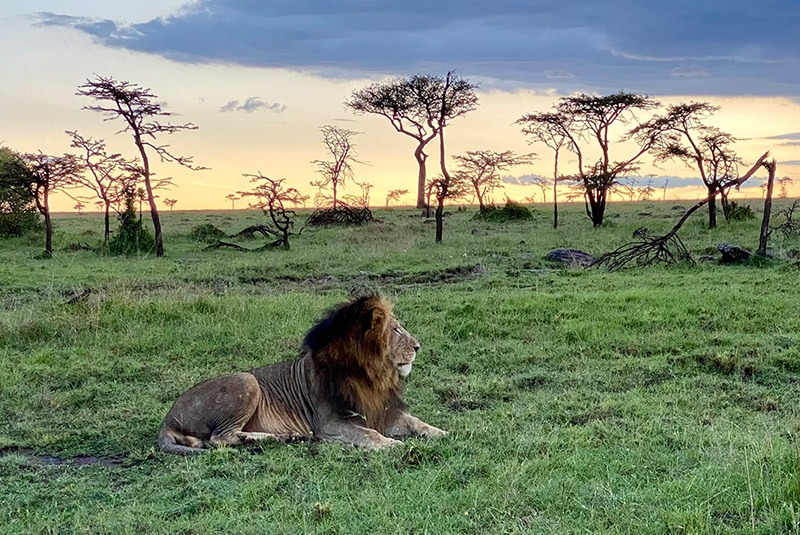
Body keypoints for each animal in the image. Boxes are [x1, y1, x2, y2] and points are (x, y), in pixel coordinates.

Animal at [156, 294, 444, 456]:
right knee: (220, 438)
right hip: (246, 381)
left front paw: (439, 432)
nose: (418, 346)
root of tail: (167, 418)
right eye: (396, 330)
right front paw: (391, 445)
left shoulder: (383, 412)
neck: (373, 376)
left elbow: (416, 422)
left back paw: (286, 437)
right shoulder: (330, 424)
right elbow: (369, 434)